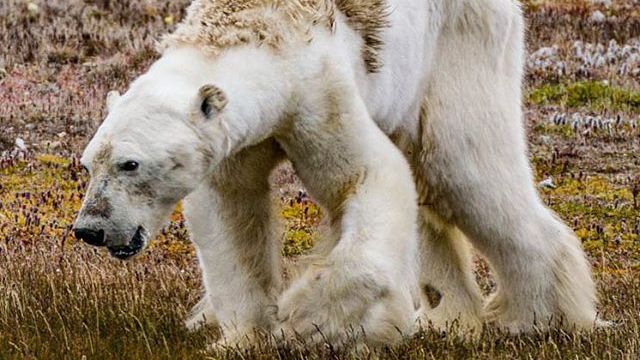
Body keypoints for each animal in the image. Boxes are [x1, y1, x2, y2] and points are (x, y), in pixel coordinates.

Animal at [74, 0, 600, 348]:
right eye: (88, 162)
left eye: (130, 163)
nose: (89, 229)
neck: (255, 29)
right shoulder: (234, 140)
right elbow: (229, 212)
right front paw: (244, 336)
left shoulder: (318, 92)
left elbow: (367, 177)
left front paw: (310, 319)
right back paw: (447, 316)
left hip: (458, 49)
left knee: (462, 169)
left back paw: (536, 318)